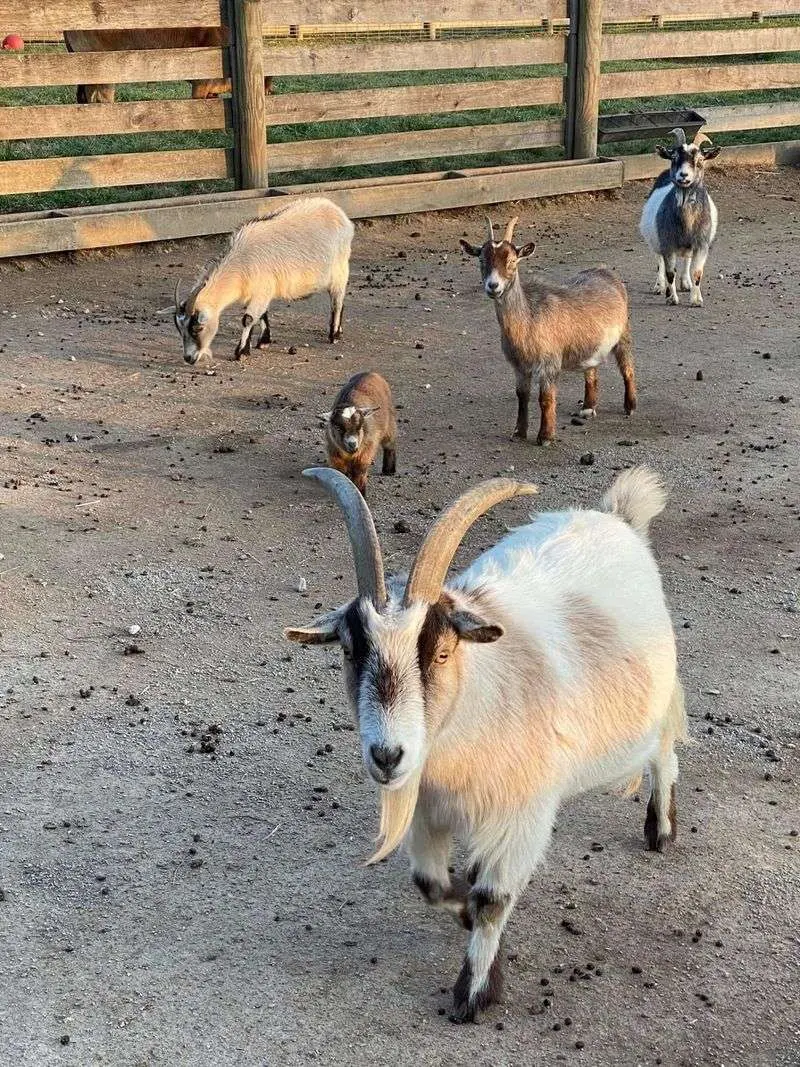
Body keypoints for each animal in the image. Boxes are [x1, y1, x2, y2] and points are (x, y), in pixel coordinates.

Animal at [173, 197, 354, 364]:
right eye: (180, 329)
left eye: (198, 328)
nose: (188, 358)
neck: (241, 262)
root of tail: (340, 214)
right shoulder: (258, 292)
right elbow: (261, 314)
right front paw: (264, 341)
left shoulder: (262, 289)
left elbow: (247, 319)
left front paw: (241, 352)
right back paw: (340, 331)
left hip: (340, 269)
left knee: (337, 301)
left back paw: (334, 335)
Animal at [286, 465, 685, 1023]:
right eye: (348, 650)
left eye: (443, 652)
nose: (388, 757)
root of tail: (617, 516)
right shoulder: (429, 809)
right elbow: (431, 884)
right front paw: (461, 911)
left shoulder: (521, 812)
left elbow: (493, 898)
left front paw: (474, 993)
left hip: (655, 703)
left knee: (665, 752)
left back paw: (661, 828)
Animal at [460, 217, 635, 446]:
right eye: (481, 260)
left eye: (512, 261)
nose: (493, 286)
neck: (528, 320)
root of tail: (605, 270)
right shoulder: (519, 366)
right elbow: (522, 395)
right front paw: (519, 432)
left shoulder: (549, 362)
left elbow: (546, 399)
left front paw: (545, 436)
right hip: (591, 344)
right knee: (591, 370)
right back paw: (588, 407)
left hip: (623, 333)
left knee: (627, 368)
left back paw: (630, 406)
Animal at [639, 127, 721, 307]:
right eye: (674, 158)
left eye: (700, 160)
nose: (683, 175)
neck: (687, 223)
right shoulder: (667, 244)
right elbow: (670, 272)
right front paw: (671, 298)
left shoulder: (701, 245)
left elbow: (697, 272)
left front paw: (696, 299)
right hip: (655, 241)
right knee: (660, 263)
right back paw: (660, 286)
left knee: (686, 261)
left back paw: (685, 283)